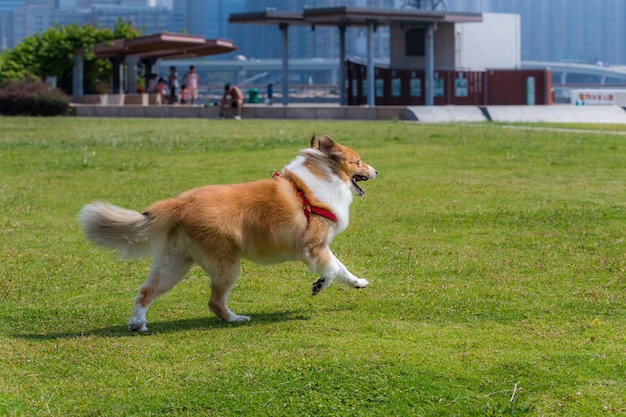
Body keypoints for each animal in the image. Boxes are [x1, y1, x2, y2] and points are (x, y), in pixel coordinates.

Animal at [80, 135, 378, 330]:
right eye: (358, 161)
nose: (376, 170)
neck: (319, 180)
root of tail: (180, 202)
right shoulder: (313, 246)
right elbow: (331, 269)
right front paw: (319, 285)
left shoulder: (321, 247)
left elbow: (341, 267)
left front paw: (358, 282)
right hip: (226, 264)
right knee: (214, 302)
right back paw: (236, 319)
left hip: (174, 263)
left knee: (146, 290)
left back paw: (137, 322)